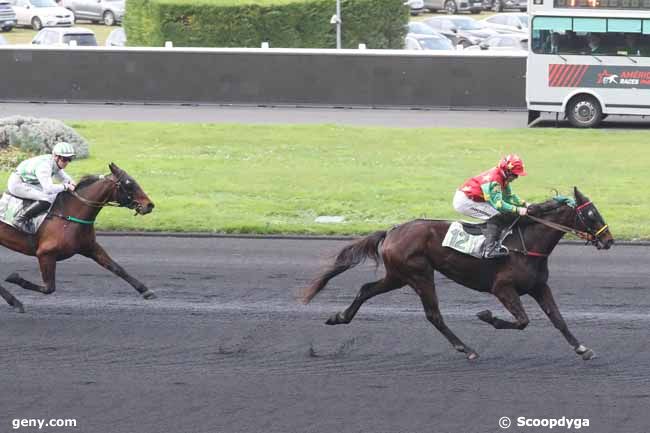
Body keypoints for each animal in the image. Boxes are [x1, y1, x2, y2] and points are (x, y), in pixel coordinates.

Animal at [0, 161, 154, 310]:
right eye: (128, 184)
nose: (150, 205)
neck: (69, 214)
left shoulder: (90, 247)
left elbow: (117, 268)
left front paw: (145, 290)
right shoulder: (45, 253)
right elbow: (48, 288)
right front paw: (15, 278)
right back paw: (15, 301)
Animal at [302, 187, 612, 360]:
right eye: (592, 214)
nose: (609, 240)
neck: (526, 244)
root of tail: (392, 231)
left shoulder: (538, 287)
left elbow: (558, 319)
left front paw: (582, 349)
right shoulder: (502, 288)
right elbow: (522, 321)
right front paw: (487, 316)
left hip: (398, 276)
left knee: (366, 289)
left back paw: (339, 317)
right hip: (419, 274)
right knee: (433, 315)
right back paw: (467, 348)